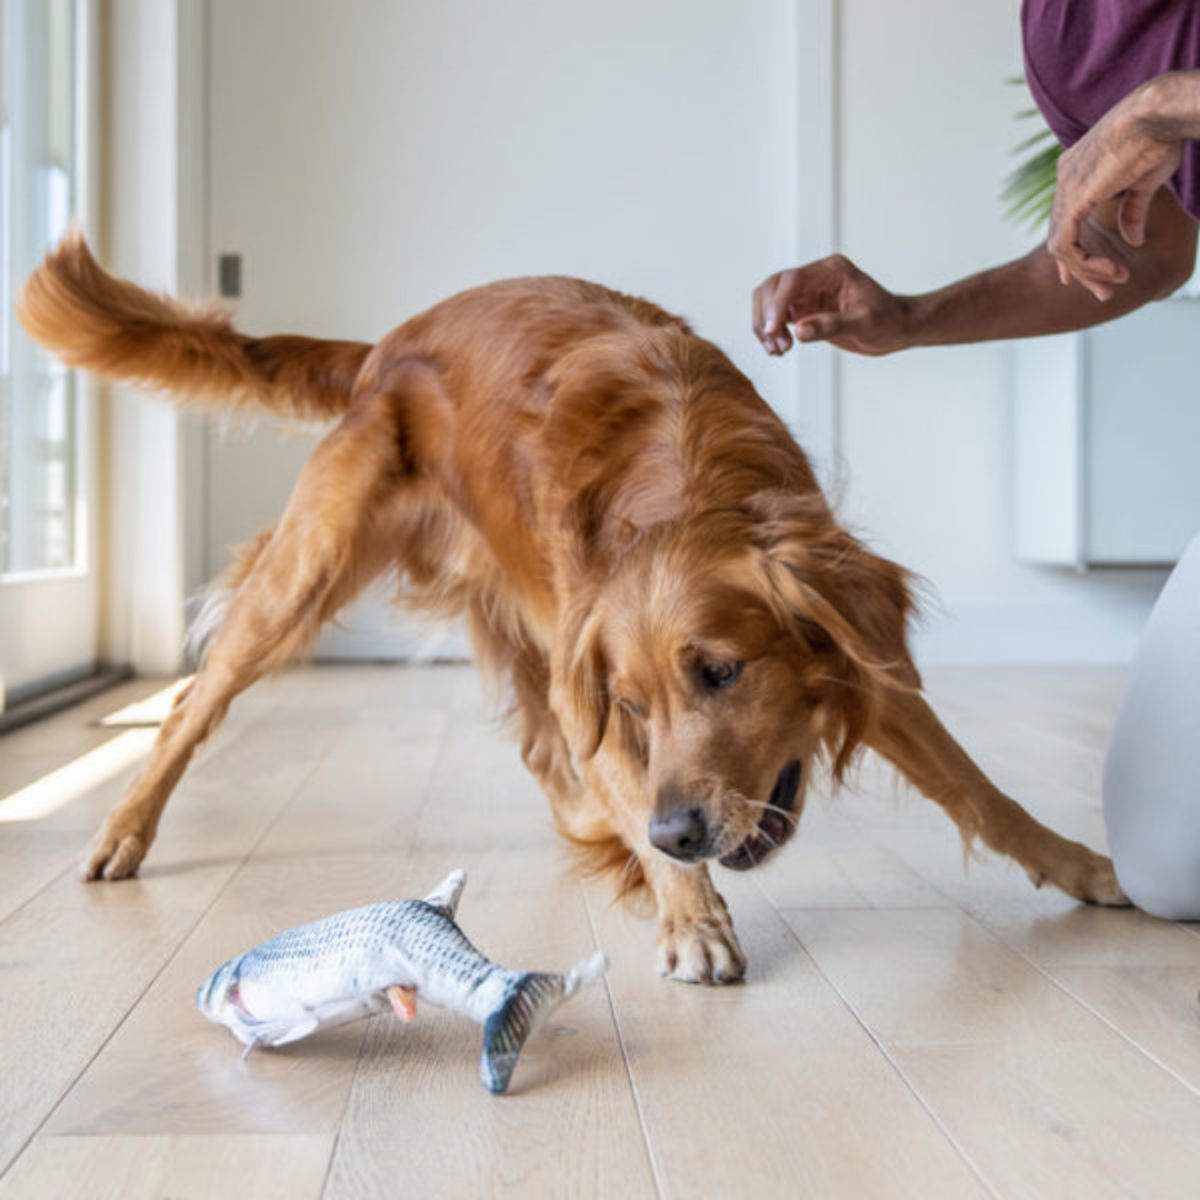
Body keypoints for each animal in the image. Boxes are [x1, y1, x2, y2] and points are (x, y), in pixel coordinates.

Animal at [18, 234, 1123, 984]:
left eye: (722, 671)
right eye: (635, 704)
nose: (680, 835)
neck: (686, 474)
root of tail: (386, 346)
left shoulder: (859, 654)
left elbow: (978, 788)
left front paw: (1080, 867)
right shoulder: (591, 673)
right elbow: (630, 778)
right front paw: (691, 917)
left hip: (512, 619)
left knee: (543, 752)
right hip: (311, 570)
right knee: (190, 704)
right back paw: (121, 832)